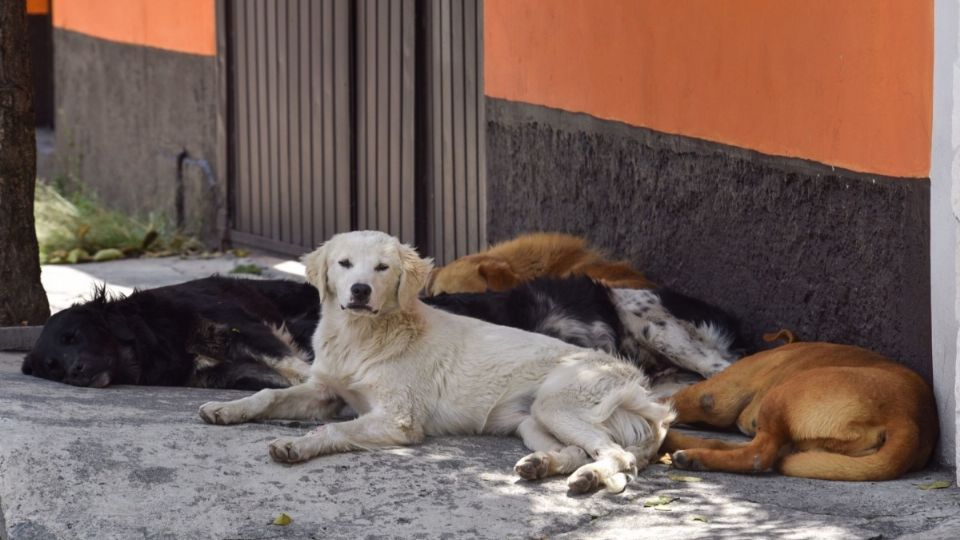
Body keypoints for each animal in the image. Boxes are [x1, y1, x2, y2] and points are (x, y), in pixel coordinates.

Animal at [22, 278, 318, 388]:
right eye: (52, 365)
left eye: (72, 336)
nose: (75, 371)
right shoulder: (227, 375)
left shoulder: (241, 327)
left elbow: (292, 364)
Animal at [660, 342, 936, 480]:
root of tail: (906, 417)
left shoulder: (711, 397)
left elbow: (669, 401)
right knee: (731, 445)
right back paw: (681, 446)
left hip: (781, 396)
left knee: (758, 456)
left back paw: (692, 456)